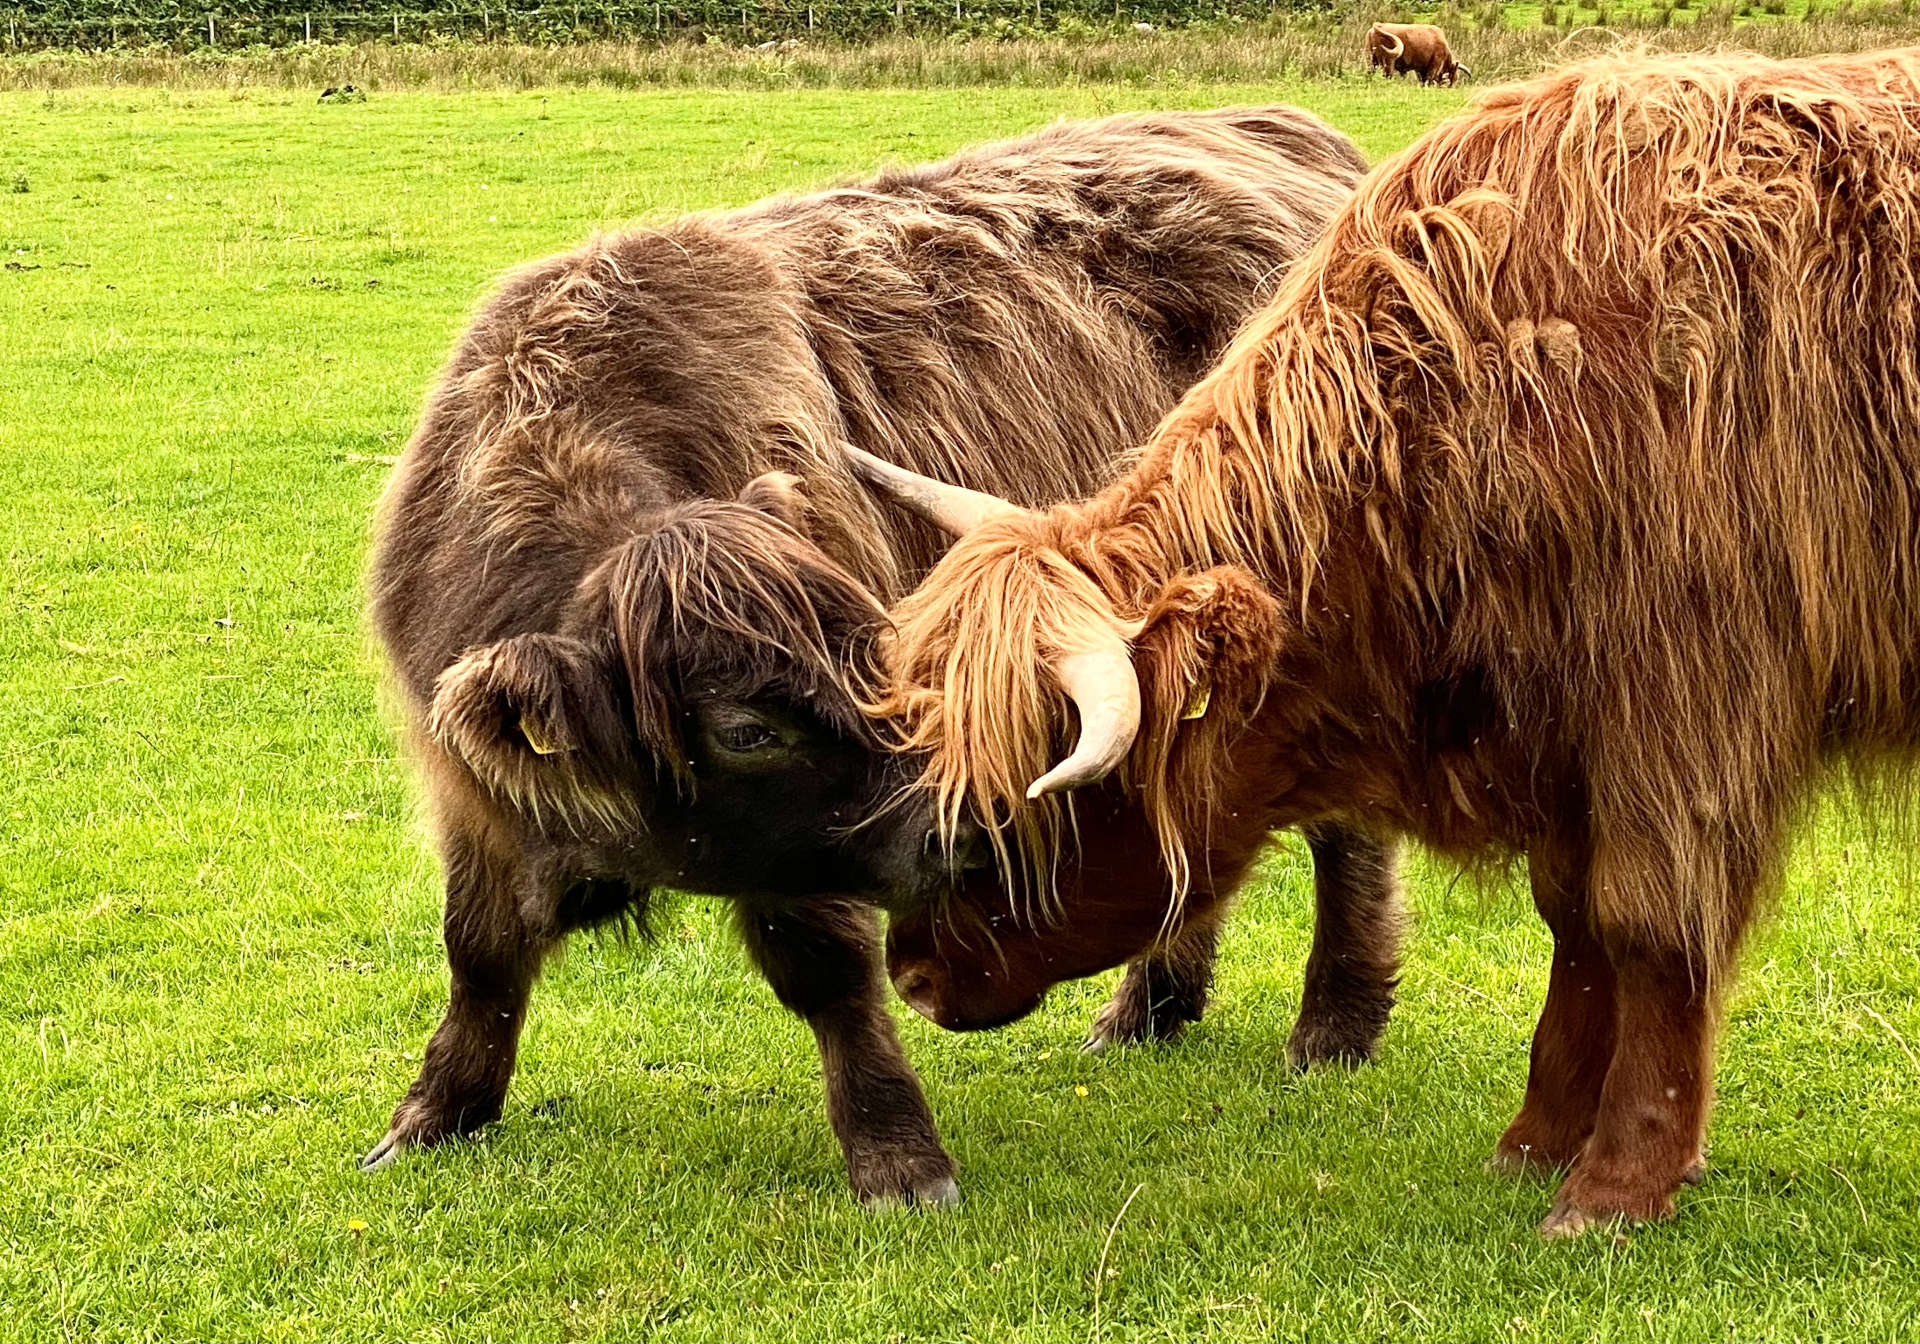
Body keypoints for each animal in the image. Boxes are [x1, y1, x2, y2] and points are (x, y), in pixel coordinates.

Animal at [360, 107, 1382, 1205]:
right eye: (745, 728)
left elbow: (827, 971)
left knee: (1348, 831)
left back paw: (1333, 1026)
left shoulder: (811, 855)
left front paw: (899, 1159)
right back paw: (1149, 1011)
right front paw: (432, 1117)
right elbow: (479, 953)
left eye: (877, 663)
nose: (973, 826)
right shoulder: (478, 799)